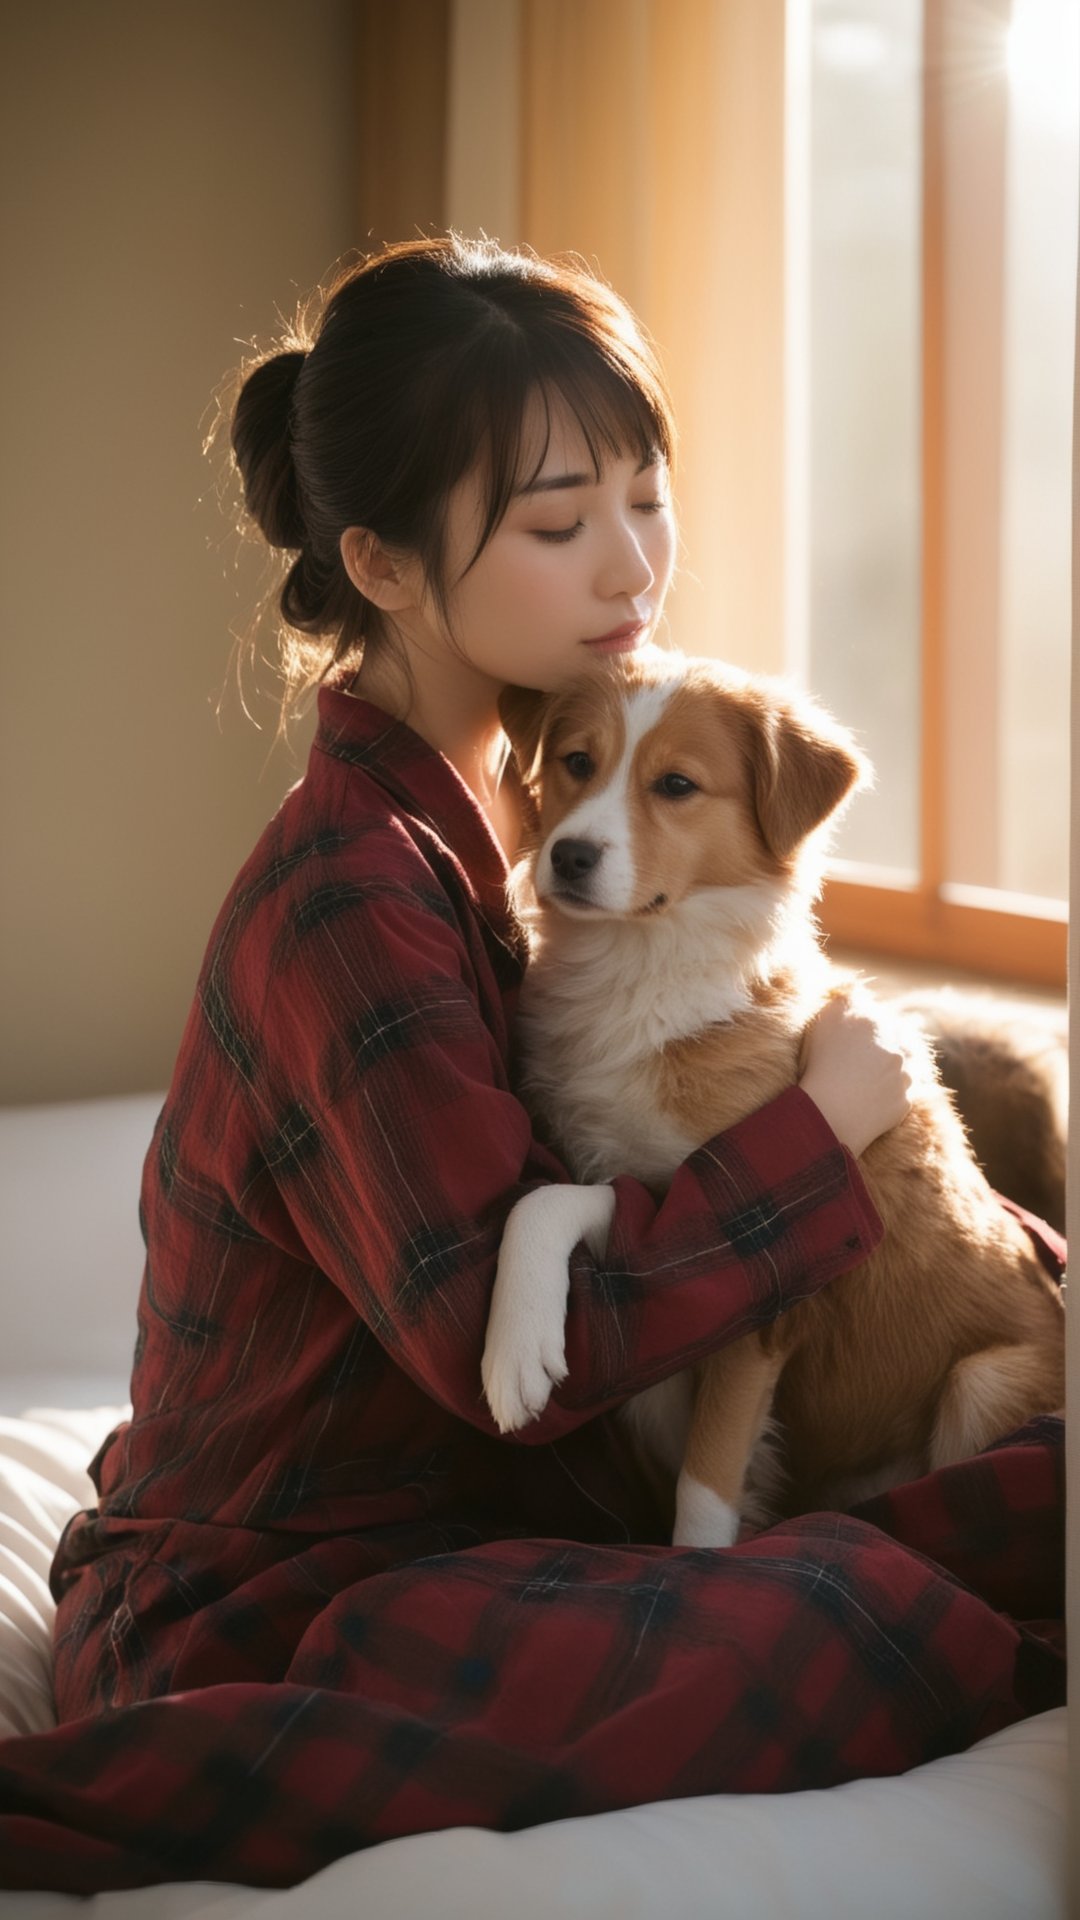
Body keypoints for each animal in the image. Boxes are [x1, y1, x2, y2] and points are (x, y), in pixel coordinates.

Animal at [478, 652, 1060, 1551]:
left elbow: (706, 1482)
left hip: (985, 1381)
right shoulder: (657, 1211)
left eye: (676, 784)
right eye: (577, 761)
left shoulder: (762, 1282)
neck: (642, 968)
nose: (570, 856)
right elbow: (549, 1199)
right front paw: (519, 1341)